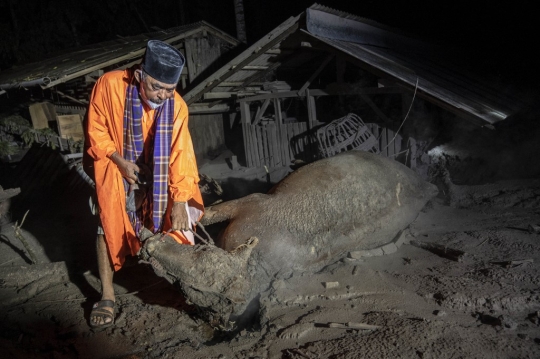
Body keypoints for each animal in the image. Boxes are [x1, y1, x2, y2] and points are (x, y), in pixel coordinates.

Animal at [139, 150, 438, 330]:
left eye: (204, 264)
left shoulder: (255, 203)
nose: (149, 246)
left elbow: (215, 211)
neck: (259, 262)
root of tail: (425, 186)